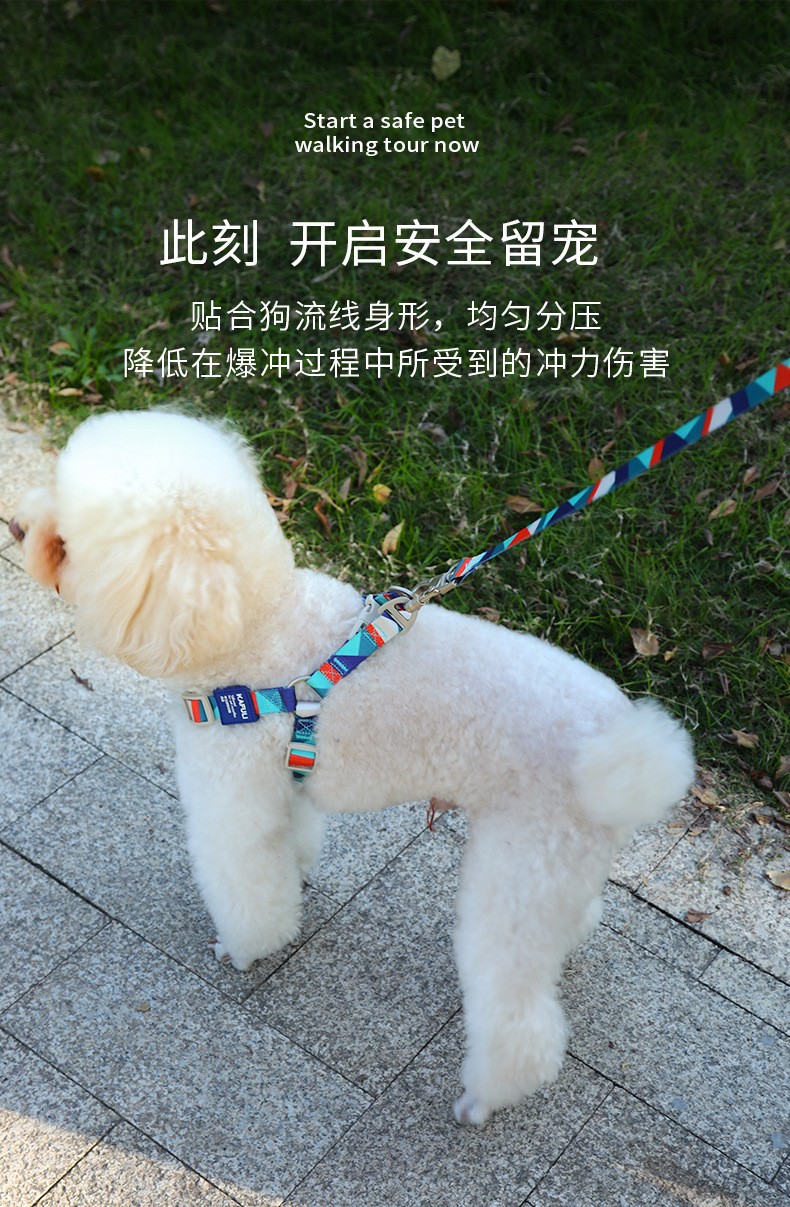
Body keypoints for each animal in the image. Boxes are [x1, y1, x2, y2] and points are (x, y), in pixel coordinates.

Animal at [11, 409, 695, 1126]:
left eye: (69, 541)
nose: (18, 524)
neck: (251, 623)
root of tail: (625, 750)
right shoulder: (281, 777)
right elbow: (292, 841)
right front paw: (300, 874)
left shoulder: (231, 793)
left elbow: (247, 887)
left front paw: (243, 949)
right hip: (557, 864)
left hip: (517, 870)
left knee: (518, 1016)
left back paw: (484, 1098)